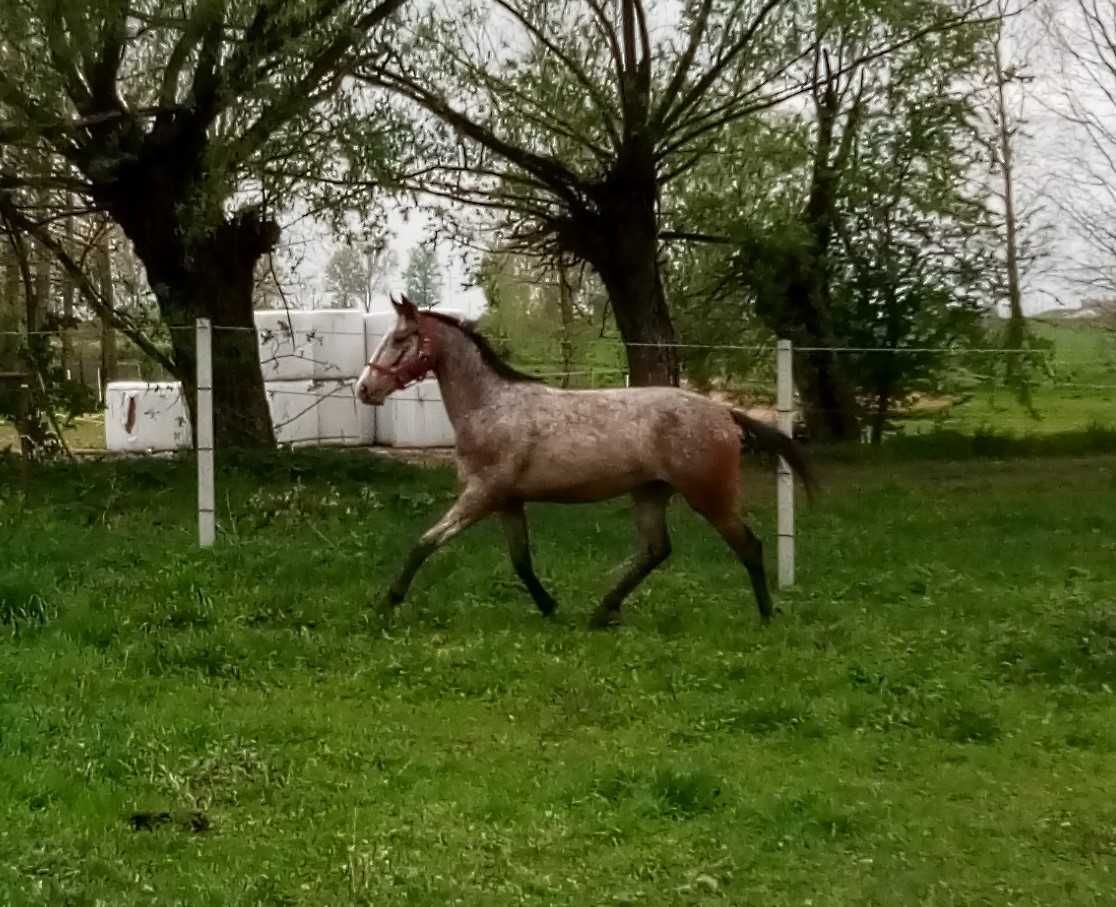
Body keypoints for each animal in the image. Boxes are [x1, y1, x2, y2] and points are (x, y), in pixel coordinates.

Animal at [361, 294, 816, 624]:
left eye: (399, 340)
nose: (365, 389)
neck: (492, 406)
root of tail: (724, 413)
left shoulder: (481, 495)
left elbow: (425, 543)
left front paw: (388, 601)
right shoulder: (507, 501)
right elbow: (521, 561)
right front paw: (550, 607)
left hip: (709, 496)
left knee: (748, 545)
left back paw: (765, 616)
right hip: (650, 493)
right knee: (656, 550)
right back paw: (602, 611)